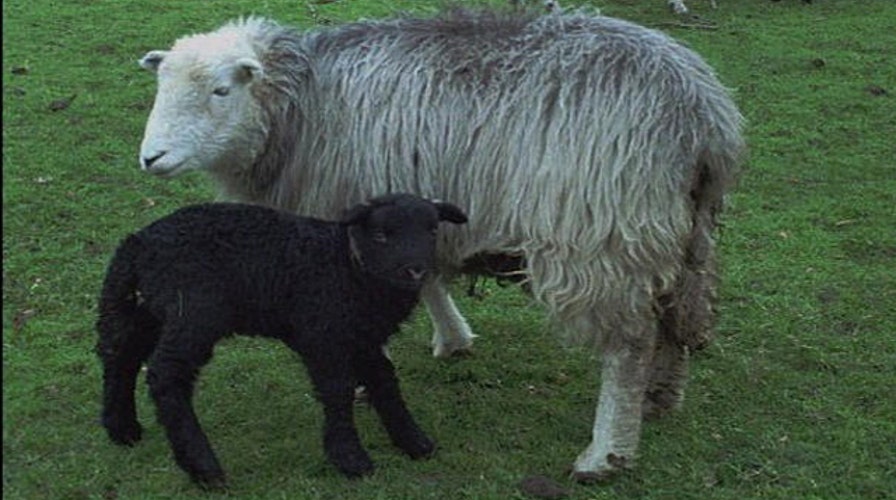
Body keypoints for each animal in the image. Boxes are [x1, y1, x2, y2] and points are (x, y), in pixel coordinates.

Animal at [95, 193, 469, 488]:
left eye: (432, 230)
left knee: (121, 355)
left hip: (147, 308)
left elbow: (385, 384)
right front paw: (350, 458)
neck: (348, 266)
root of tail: (138, 242)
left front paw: (414, 442)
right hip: (193, 312)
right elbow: (338, 391)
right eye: (380, 234)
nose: (416, 270)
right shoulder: (322, 334)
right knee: (165, 373)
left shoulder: (362, 337)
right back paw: (203, 467)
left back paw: (121, 429)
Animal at [136, 8, 745, 480]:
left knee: (629, 345)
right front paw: (453, 340)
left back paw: (606, 452)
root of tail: (705, 118)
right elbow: (424, 275)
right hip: (685, 236)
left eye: (220, 91)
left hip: (601, 234)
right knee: (677, 321)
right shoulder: (405, 207)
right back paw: (659, 398)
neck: (299, 104)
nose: (151, 158)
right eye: (161, 88)